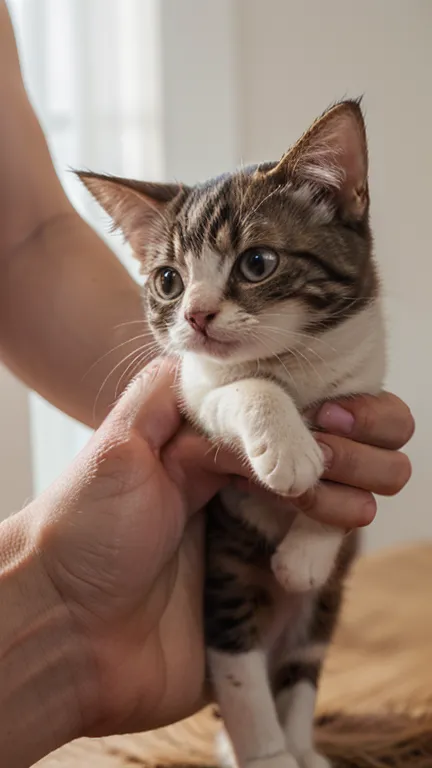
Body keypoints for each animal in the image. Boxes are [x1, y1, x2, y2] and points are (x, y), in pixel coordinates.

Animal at [79, 100, 386, 768]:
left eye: (258, 263)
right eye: (168, 280)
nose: (195, 315)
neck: (293, 367)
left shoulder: (370, 400)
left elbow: (353, 490)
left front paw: (306, 551)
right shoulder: (191, 393)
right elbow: (241, 388)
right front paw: (289, 450)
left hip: (319, 617)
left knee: (301, 668)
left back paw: (302, 748)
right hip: (227, 571)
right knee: (239, 666)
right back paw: (267, 752)